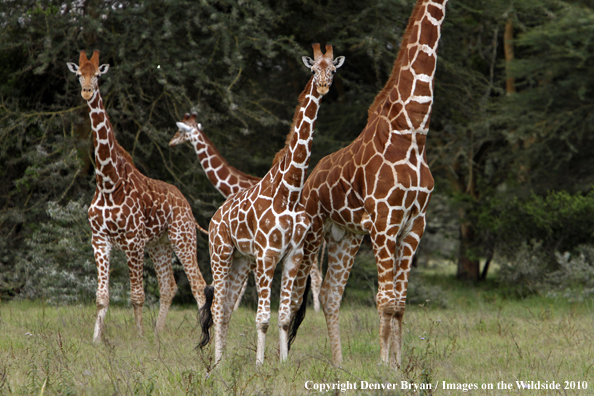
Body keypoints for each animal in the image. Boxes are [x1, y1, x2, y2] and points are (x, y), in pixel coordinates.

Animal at [65, 50, 206, 344]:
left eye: (97, 75)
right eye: (78, 74)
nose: (86, 92)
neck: (108, 182)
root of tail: (185, 202)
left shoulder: (133, 241)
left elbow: (137, 295)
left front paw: (138, 337)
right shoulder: (100, 240)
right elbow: (101, 296)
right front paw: (96, 340)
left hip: (183, 238)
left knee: (199, 284)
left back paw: (202, 336)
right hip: (160, 245)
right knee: (169, 286)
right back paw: (158, 333)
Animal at [199, 44, 342, 366]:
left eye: (333, 69)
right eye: (313, 68)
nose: (323, 86)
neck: (289, 191)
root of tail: (215, 218)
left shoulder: (292, 255)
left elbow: (285, 317)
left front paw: (283, 364)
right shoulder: (266, 256)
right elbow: (262, 318)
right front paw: (260, 365)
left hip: (240, 260)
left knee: (226, 310)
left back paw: (221, 363)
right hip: (220, 253)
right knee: (217, 307)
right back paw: (217, 363)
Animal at [286, 0, 444, 370]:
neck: (412, 133)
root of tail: (309, 181)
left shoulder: (414, 223)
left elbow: (400, 303)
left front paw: (399, 365)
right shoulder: (385, 222)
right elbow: (385, 299)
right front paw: (383, 365)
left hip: (348, 236)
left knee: (330, 294)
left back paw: (338, 364)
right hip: (313, 233)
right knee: (296, 292)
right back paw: (279, 357)